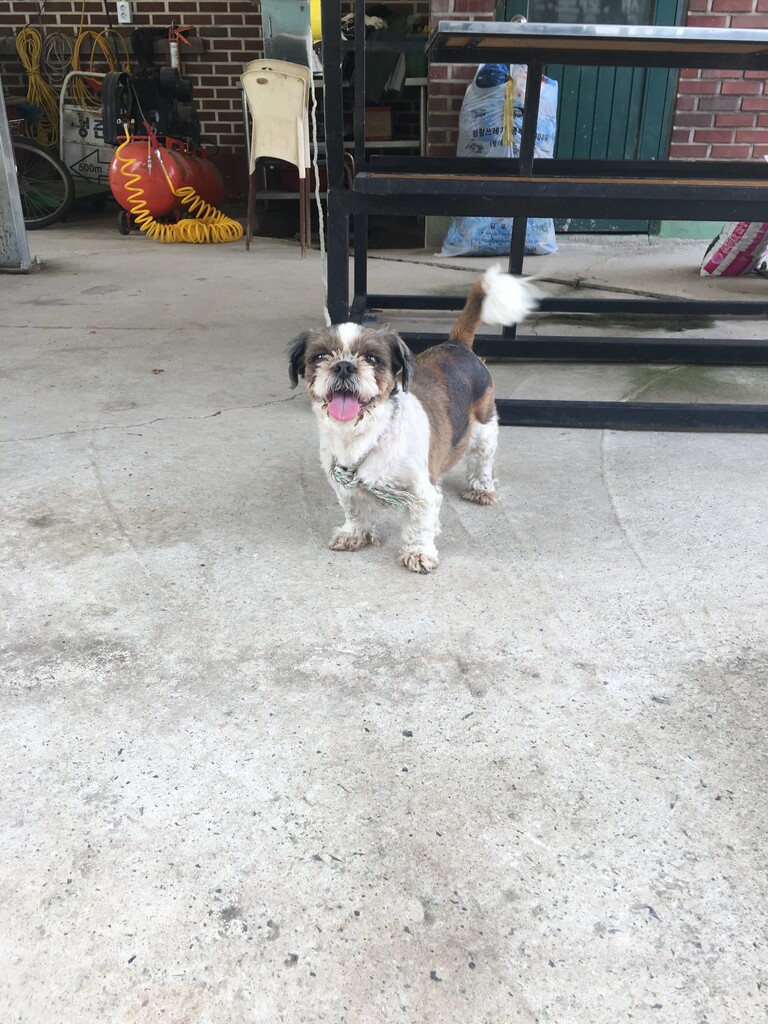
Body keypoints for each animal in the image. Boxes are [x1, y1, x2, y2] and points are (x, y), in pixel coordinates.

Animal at [289, 266, 538, 574]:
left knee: (482, 460)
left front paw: (418, 552)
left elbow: (419, 525)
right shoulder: (343, 483)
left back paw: (481, 488)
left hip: (484, 428)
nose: (344, 365)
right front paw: (354, 533)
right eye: (320, 356)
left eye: (372, 359)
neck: (364, 436)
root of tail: (457, 344)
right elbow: (354, 509)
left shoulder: (421, 491)